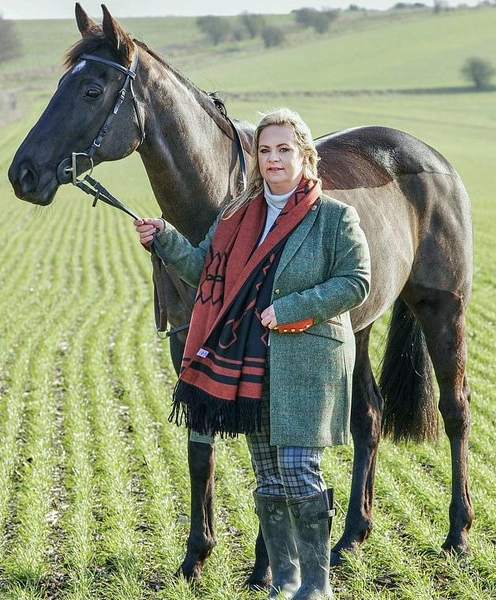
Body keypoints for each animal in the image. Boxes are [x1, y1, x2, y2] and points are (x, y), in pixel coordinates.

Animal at [7, 3, 472, 584]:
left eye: (92, 90)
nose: (22, 172)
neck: (217, 205)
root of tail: (431, 160)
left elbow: (266, 443)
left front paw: (266, 563)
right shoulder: (188, 340)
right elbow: (200, 451)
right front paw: (196, 555)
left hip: (443, 307)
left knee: (455, 410)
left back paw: (457, 533)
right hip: (356, 325)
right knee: (369, 416)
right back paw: (350, 537)